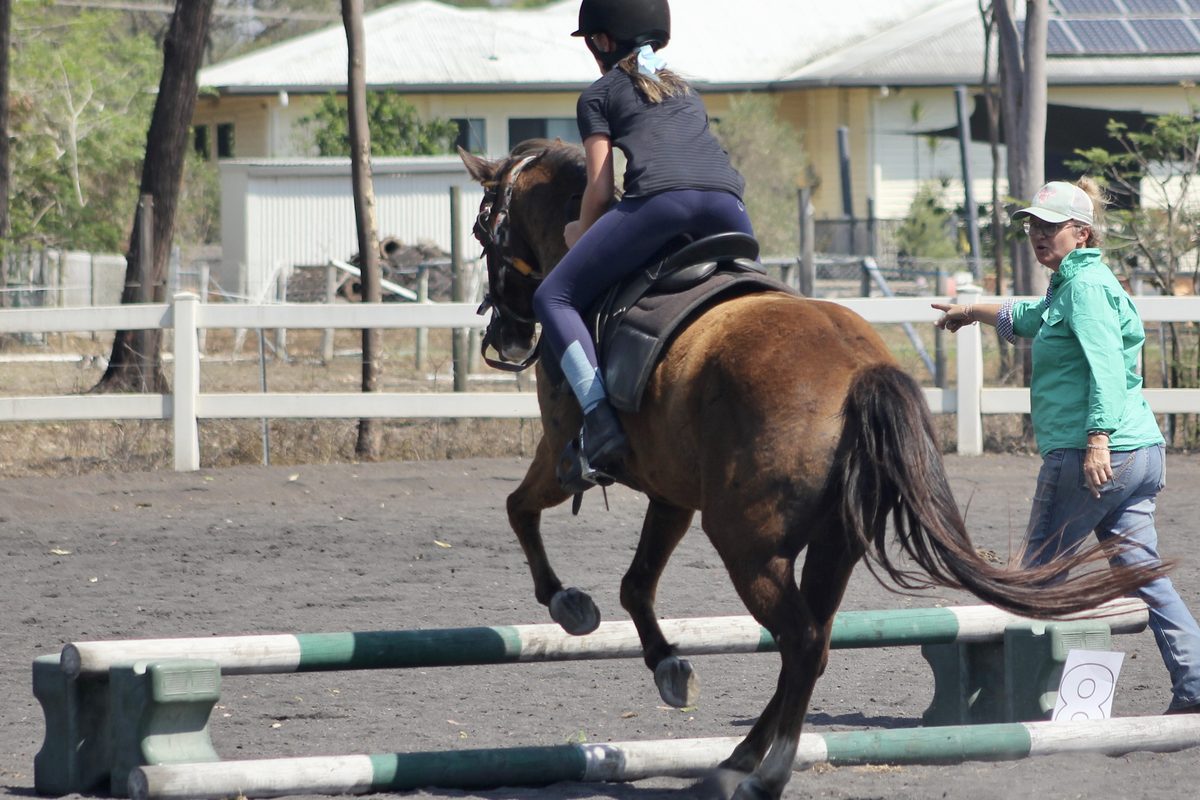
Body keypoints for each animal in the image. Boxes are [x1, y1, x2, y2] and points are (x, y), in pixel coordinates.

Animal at [459, 139, 1167, 800]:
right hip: (830, 545)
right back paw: (738, 762)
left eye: (482, 228)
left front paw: (570, 604)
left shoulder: (562, 453)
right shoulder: (672, 493)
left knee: (799, 642)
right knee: (814, 645)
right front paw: (667, 666)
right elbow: (636, 585)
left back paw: (757, 772)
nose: (505, 340)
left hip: (747, 544)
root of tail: (859, 370)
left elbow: (519, 510)